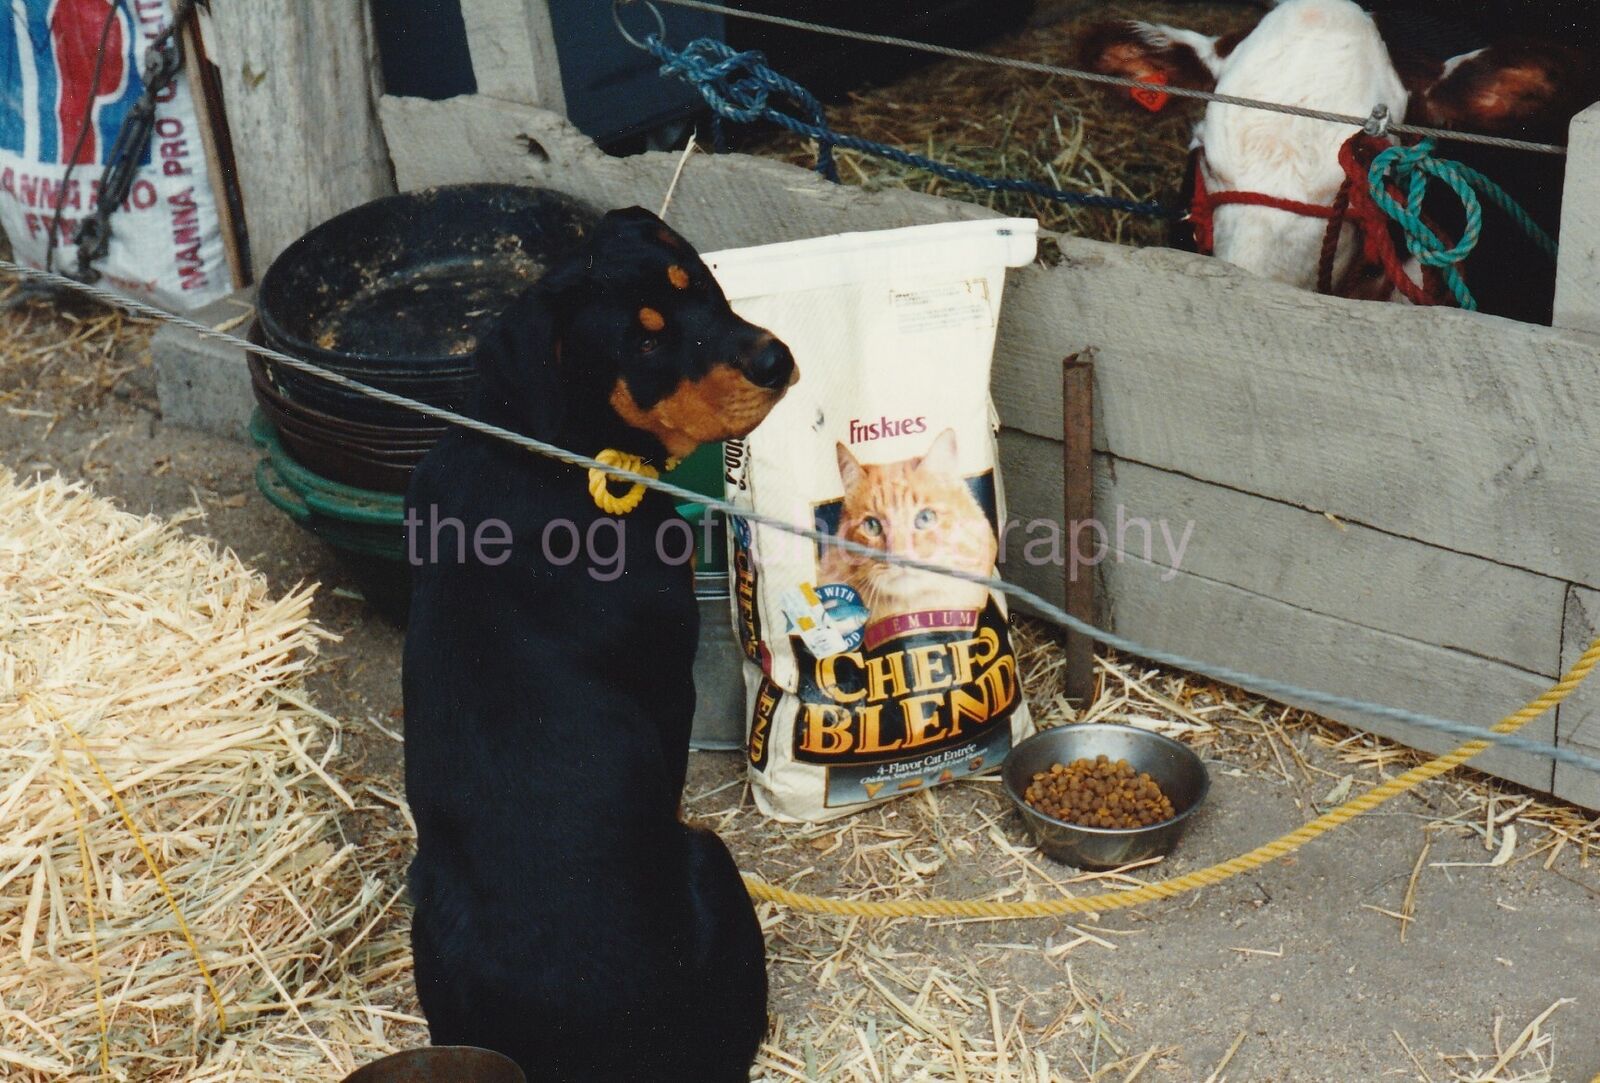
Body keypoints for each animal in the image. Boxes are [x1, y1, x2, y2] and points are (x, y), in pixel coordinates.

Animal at [403, 206, 796, 1075]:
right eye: (643, 345)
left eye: (697, 282)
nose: (774, 358)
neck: (543, 452)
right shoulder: (670, 682)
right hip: (710, 861)